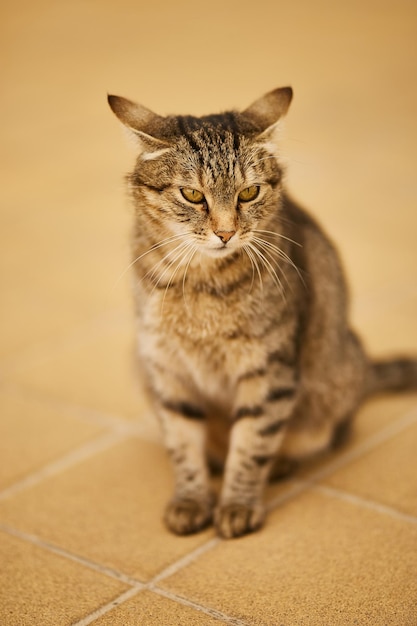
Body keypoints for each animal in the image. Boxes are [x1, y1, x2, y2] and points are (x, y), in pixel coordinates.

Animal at [108, 86, 416, 536]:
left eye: (248, 193)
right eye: (193, 195)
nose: (225, 232)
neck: (200, 283)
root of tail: (362, 371)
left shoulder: (269, 373)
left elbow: (251, 445)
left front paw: (237, 505)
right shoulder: (167, 371)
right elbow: (182, 444)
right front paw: (191, 499)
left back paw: (281, 464)